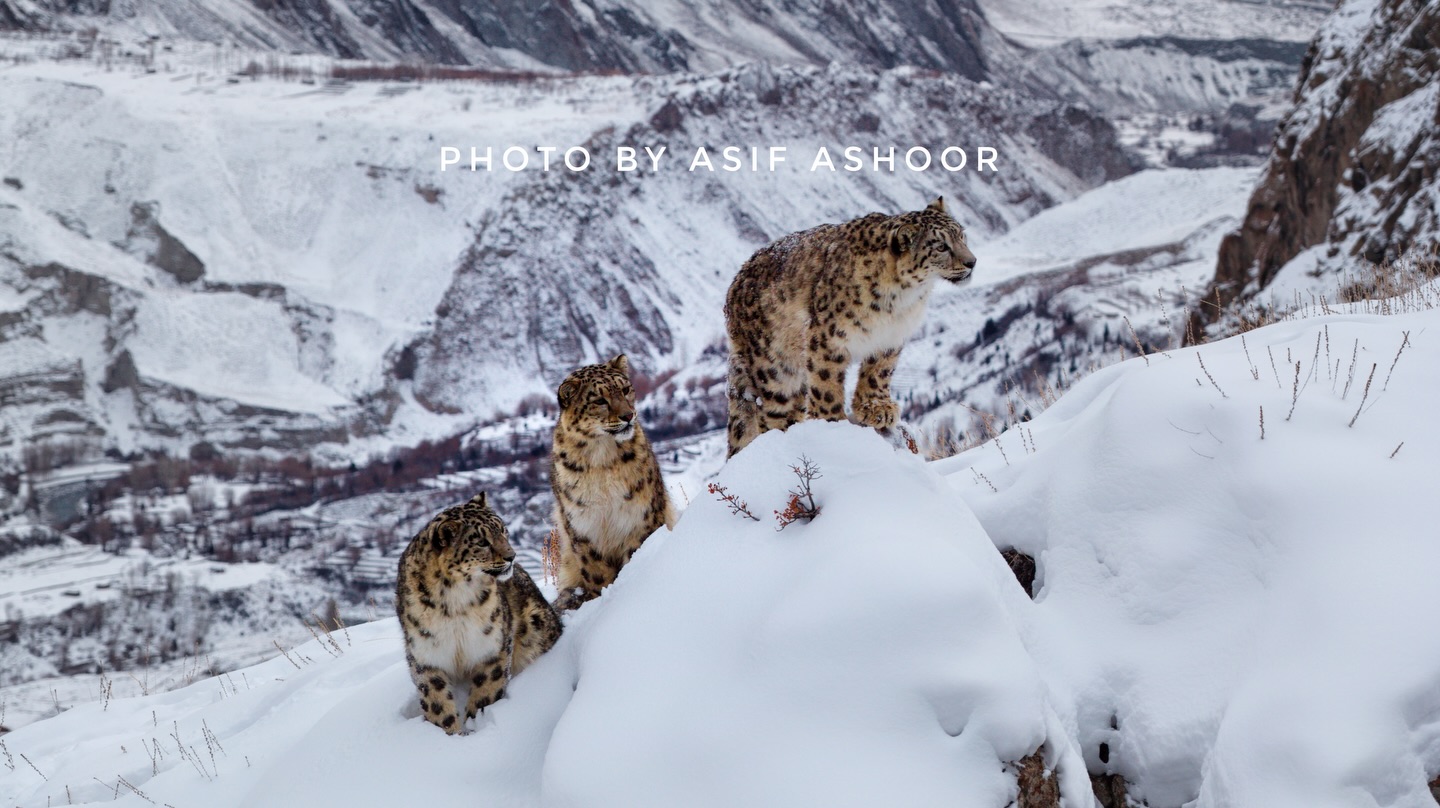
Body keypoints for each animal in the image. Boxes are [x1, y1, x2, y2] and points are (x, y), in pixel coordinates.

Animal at [395, 491, 562, 734]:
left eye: (503, 530)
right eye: (482, 542)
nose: (512, 556)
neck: (454, 603)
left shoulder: (491, 646)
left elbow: (486, 690)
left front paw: (476, 724)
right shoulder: (426, 655)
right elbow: (436, 702)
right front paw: (450, 734)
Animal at [550, 354, 675, 612]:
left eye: (626, 389)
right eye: (599, 400)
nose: (628, 415)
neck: (602, 459)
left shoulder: (640, 518)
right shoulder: (584, 528)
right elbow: (596, 572)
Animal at [723, 197, 976, 457]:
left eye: (961, 235)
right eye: (941, 246)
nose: (972, 262)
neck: (901, 300)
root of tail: (734, 285)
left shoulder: (890, 337)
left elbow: (879, 371)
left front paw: (877, 408)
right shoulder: (828, 337)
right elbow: (826, 381)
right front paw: (832, 421)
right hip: (775, 367)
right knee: (770, 411)